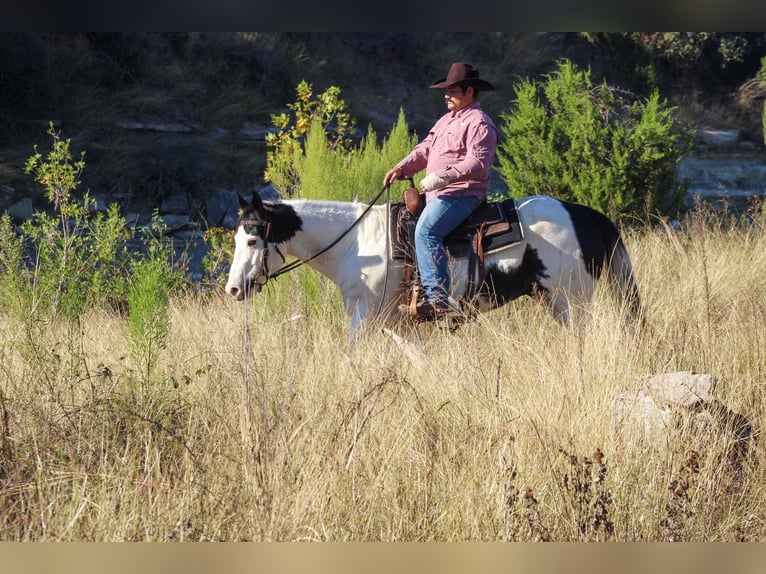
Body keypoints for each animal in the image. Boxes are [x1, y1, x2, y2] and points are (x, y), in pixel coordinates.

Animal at [224, 191, 640, 340]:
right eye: (236, 240)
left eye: (252, 240)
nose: (233, 289)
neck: (355, 244)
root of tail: (584, 214)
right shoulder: (394, 321)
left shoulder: (364, 314)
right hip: (554, 300)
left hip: (572, 301)